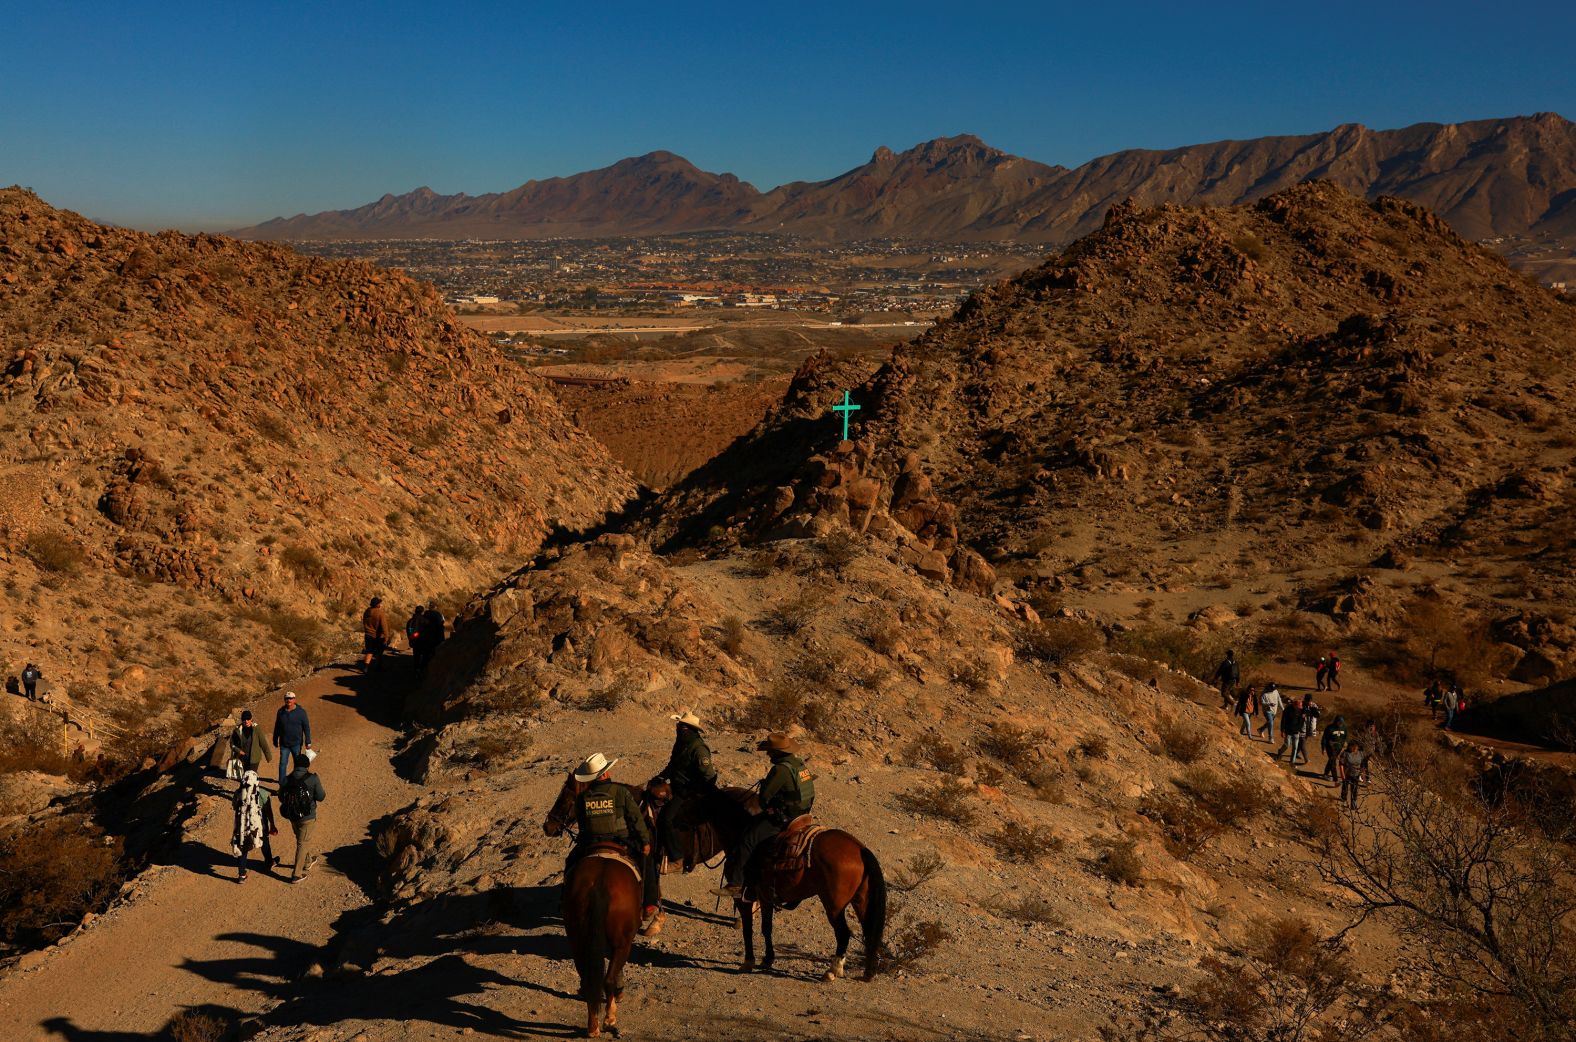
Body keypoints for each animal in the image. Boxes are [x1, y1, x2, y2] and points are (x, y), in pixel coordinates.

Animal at [542, 769, 639, 1034]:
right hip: (621, 941)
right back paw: (609, 1019)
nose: (548, 826)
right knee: (607, 978)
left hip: (576, 936)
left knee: (587, 976)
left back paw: (593, 1024)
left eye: (564, 798)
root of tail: (599, 886)